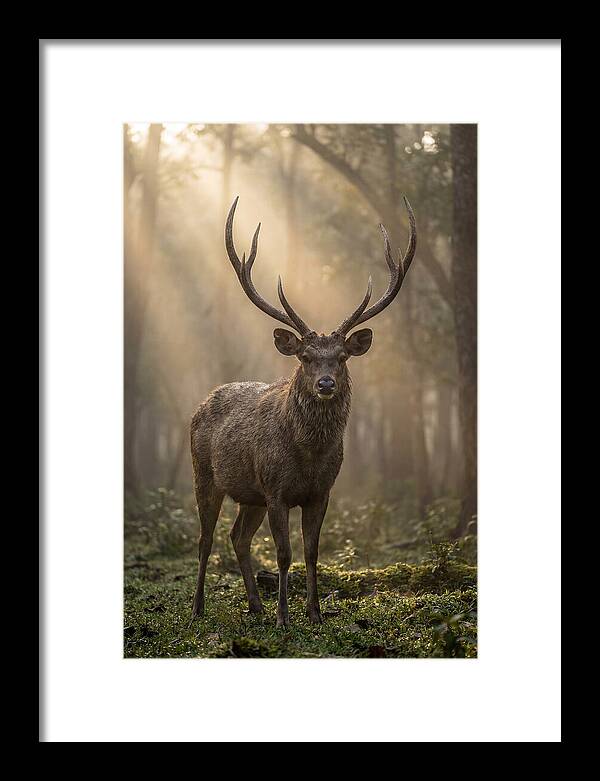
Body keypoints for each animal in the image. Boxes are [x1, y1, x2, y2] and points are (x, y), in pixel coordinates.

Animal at [190, 196, 416, 627]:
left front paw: (314, 613)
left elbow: (311, 552)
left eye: (342, 357)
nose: (325, 384)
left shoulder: (321, 492)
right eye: (306, 357)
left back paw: (255, 605)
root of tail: (201, 403)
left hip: (250, 494)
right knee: (206, 539)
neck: (308, 456)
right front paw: (284, 618)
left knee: (238, 537)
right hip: (205, 475)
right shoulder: (276, 489)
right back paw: (198, 609)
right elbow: (284, 554)